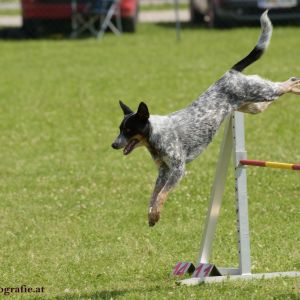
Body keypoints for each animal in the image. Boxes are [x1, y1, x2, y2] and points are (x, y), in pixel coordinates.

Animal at [111, 11, 300, 227]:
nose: (113, 144)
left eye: (128, 130)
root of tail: (230, 73)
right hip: (253, 105)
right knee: (280, 89)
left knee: (289, 81)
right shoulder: (163, 172)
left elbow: (162, 194)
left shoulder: (177, 170)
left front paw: (156, 213)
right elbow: (154, 194)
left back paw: (298, 86)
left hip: (263, 93)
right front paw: (151, 214)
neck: (155, 135)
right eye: (119, 129)